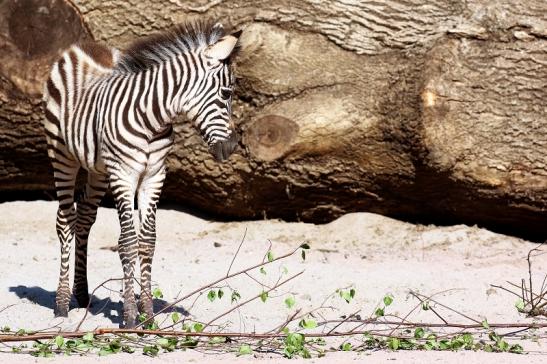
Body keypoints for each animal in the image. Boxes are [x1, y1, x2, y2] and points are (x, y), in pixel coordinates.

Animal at [42, 19, 240, 328]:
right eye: (226, 93)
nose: (230, 149)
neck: (153, 119)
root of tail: (82, 46)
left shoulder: (154, 177)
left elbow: (147, 242)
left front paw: (147, 313)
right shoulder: (124, 175)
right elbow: (127, 242)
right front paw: (130, 317)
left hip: (99, 169)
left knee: (84, 218)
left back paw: (82, 294)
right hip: (61, 154)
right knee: (65, 221)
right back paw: (62, 303)